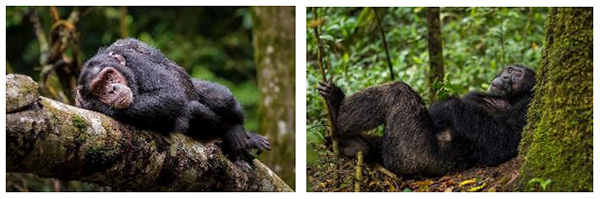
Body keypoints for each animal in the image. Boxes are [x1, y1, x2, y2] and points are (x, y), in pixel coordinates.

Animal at [75, 38, 270, 162]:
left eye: (109, 76)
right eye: (99, 87)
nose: (111, 89)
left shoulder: (138, 63)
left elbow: (170, 94)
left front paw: (96, 105)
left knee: (220, 97)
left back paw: (240, 132)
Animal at [318, 64, 536, 176]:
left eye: (518, 75)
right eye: (509, 70)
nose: (506, 77)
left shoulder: (526, 108)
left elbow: (500, 140)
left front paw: (445, 106)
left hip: (413, 157)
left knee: (397, 92)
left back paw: (336, 107)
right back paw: (354, 145)